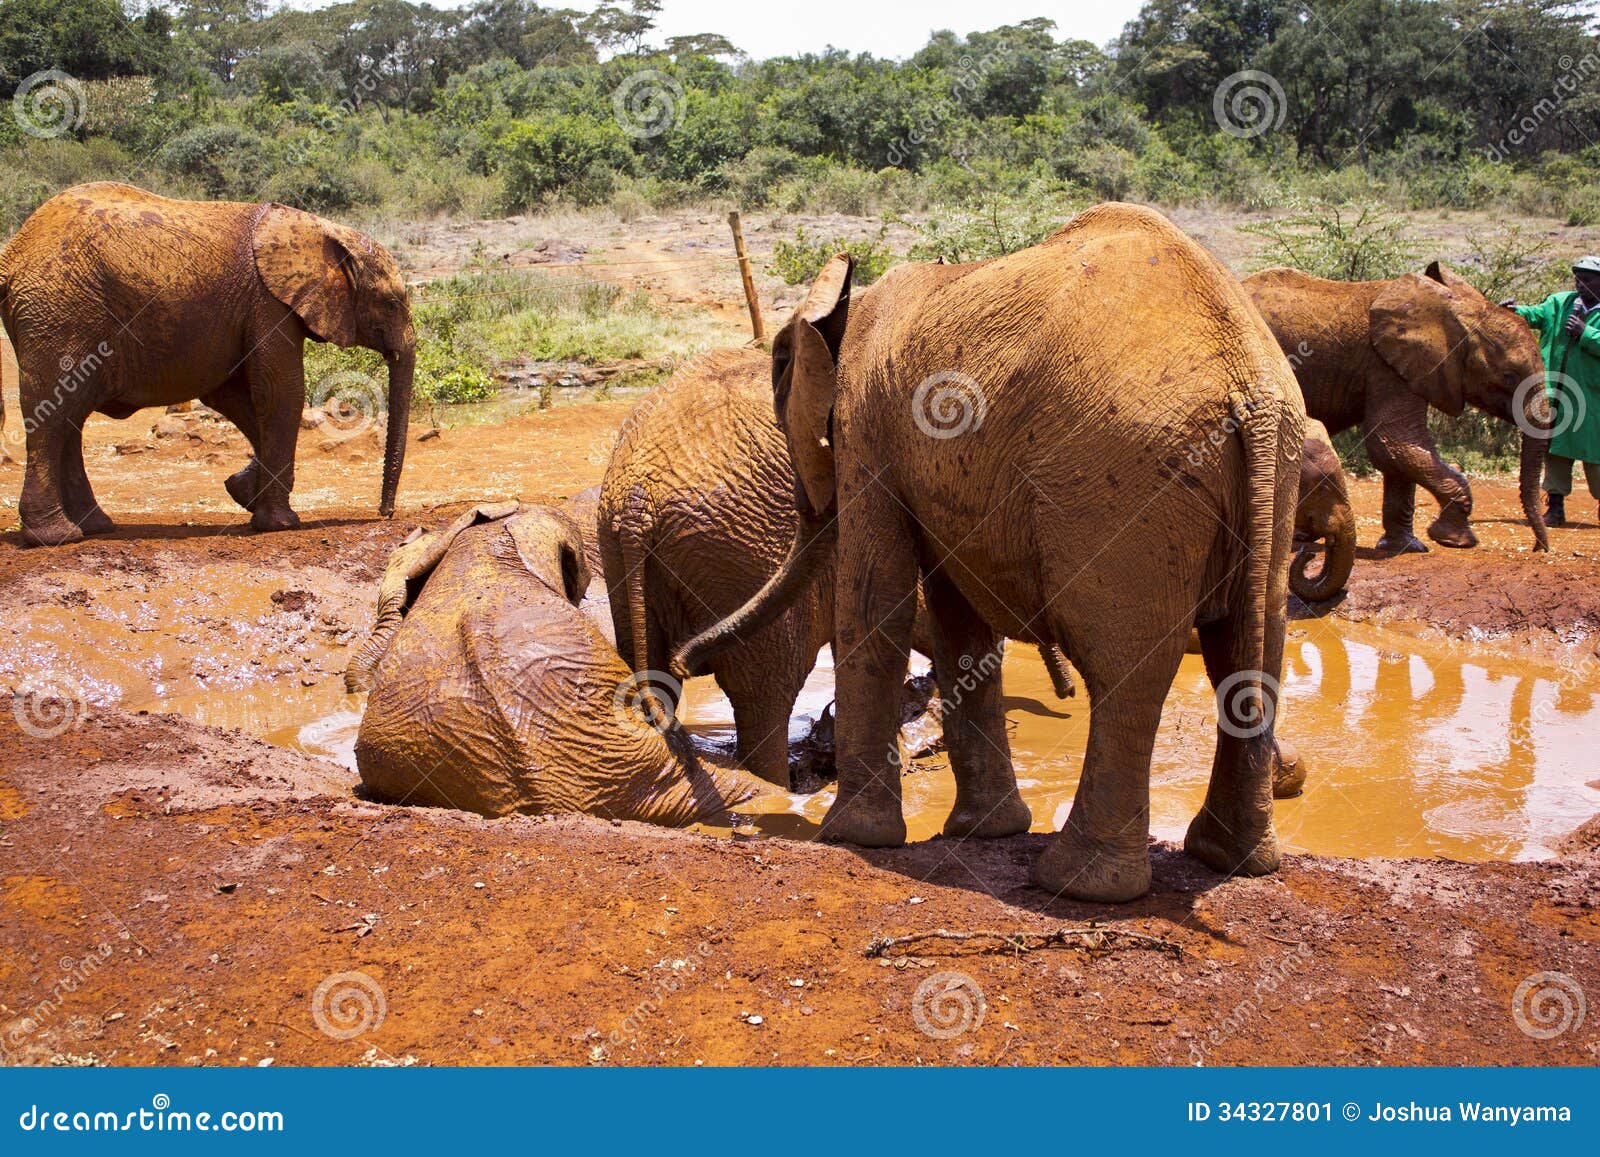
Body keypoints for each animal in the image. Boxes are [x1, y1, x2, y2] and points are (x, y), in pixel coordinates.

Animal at [0, 181, 415, 547]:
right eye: (392, 302)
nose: (385, 513)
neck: (321, 229)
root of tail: (13, 253)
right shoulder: (269, 303)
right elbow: (280, 393)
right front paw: (280, 523)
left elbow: (234, 398)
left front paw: (242, 491)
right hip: (61, 314)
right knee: (54, 414)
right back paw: (56, 536)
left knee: (71, 416)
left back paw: (96, 526)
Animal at [598, 346, 1076, 788]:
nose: (1067, 693)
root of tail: (637, 495)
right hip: (738, 555)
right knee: (766, 696)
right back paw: (780, 786)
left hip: (629, 560)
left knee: (658, 674)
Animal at [676, 203, 1306, 902]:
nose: (681, 665)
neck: (844, 300)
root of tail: (1248, 386)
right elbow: (958, 620)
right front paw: (983, 831)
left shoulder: (867, 429)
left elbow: (877, 602)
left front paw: (851, 839)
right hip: (1273, 471)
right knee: (1248, 644)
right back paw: (1231, 859)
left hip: (1125, 487)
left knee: (1129, 667)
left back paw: (1079, 885)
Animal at [1245, 262, 1550, 555]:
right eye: (1509, 376)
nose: (1539, 548)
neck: (1457, 314)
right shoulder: (1385, 365)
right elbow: (1393, 443)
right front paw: (1455, 540)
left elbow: (1398, 453)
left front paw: (1406, 546)